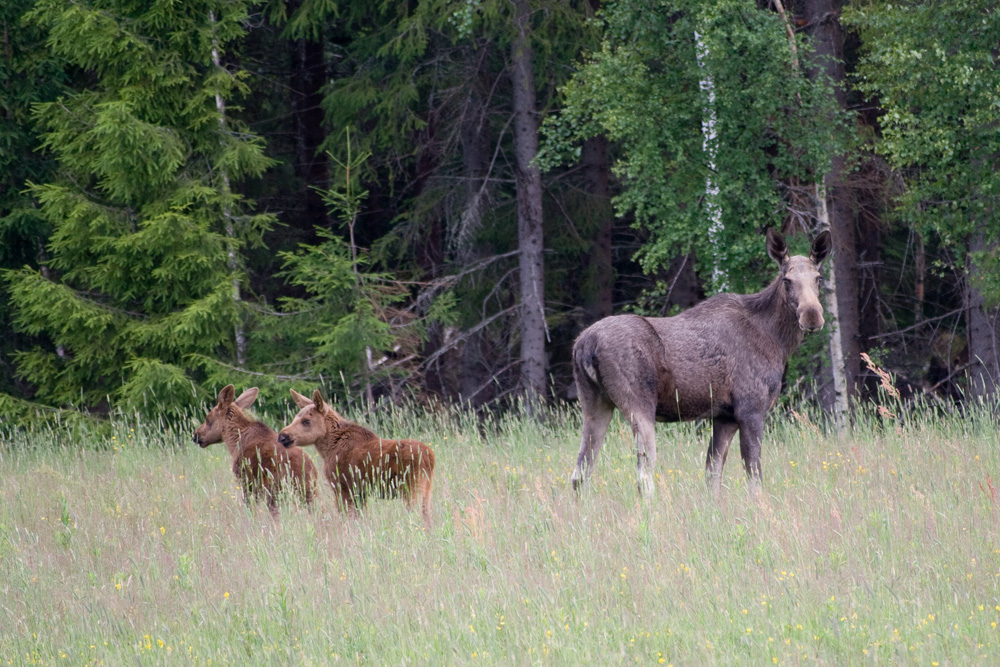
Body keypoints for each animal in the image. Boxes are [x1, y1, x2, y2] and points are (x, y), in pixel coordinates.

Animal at [193, 386, 318, 516]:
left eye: (208, 418)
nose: (196, 435)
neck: (234, 443)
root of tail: (309, 470)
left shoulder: (247, 480)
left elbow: (250, 508)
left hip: (276, 489)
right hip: (310, 492)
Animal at [278, 386, 434, 528]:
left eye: (306, 421)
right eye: (294, 418)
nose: (282, 436)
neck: (327, 449)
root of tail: (430, 457)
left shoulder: (342, 487)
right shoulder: (360, 492)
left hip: (412, 488)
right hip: (426, 489)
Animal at [568, 227, 832, 498]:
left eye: (818, 277)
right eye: (786, 280)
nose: (812, 316)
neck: (778, 343)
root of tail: (584, 346)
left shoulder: (725, 416)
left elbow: (712, 476)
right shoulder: (751, 409)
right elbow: (754, 478)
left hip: (595, 403)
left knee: (580, 473)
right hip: (639, 405)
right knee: (643, 476)